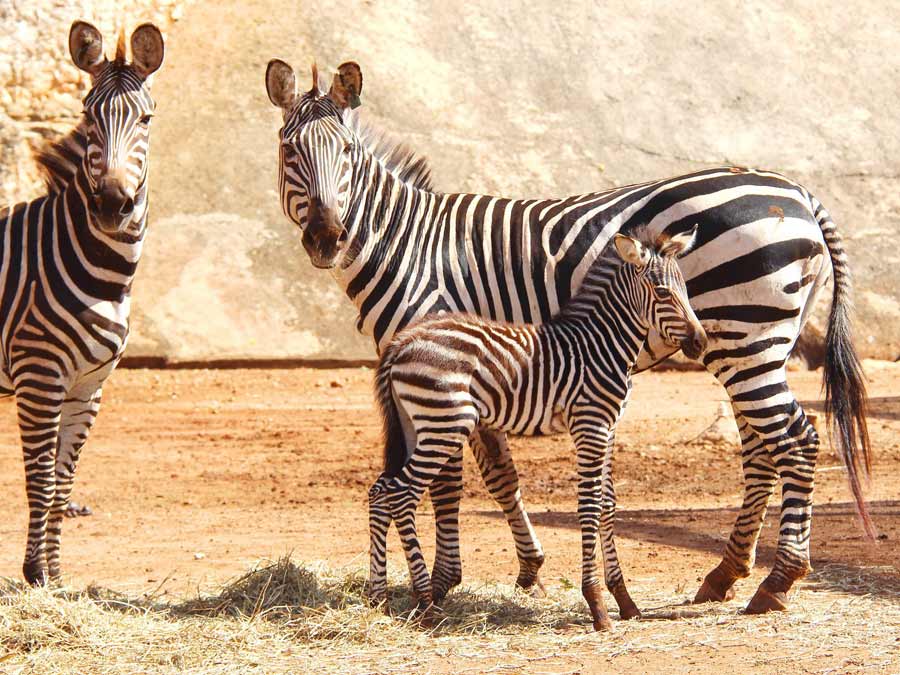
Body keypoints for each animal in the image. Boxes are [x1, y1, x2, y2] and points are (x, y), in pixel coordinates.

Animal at [1, 22, 165, 588]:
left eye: (145, 118)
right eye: (87, 116)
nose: (113, 204)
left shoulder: (88, 387)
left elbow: (64, 482)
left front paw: (56, 576)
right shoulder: (39, 376)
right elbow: (42, 481)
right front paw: (35, 575)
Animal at [366, 228, 704, 632]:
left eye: (685, 288)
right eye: (662, 292)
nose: (700, 342)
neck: (602, 344)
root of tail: (402, 342)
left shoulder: (609, 428)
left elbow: (608, 505)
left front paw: (625, 600)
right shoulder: (590, 425)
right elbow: (589, 506)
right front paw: (597, 605)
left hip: (415, 425)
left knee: (381, 492)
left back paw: (378, 596)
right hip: (444, 425)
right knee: (402, 494)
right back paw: (425, 603)